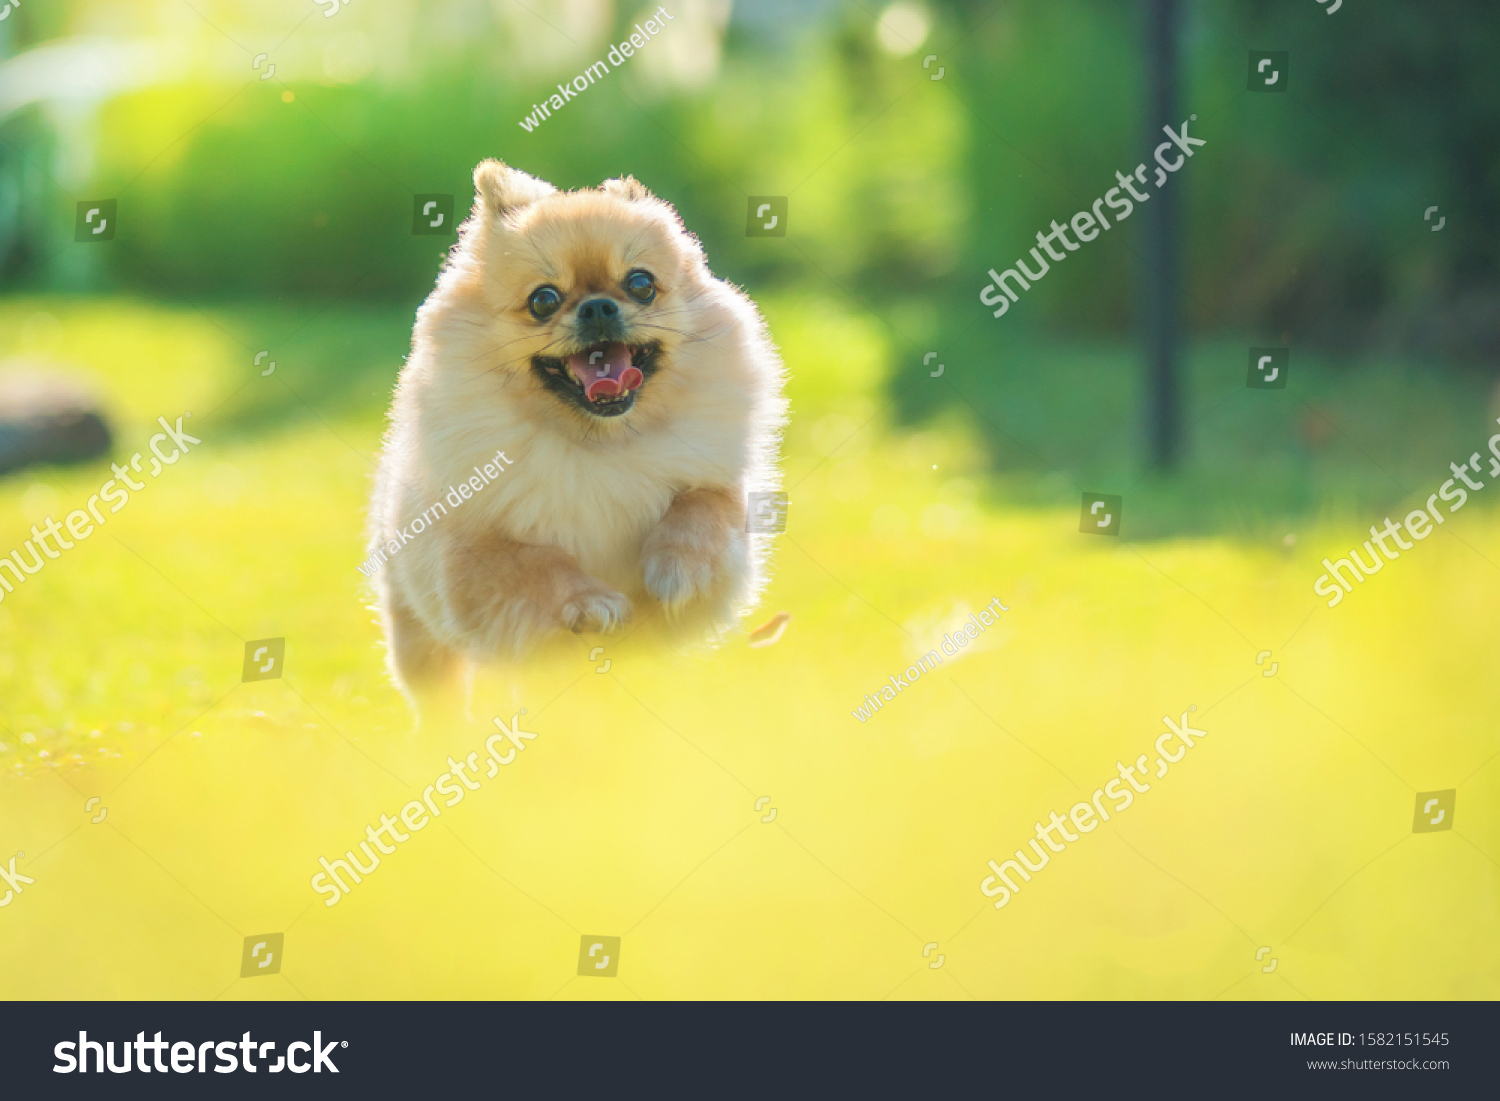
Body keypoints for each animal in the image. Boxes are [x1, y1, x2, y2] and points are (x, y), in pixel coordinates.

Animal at [366, 160, 786, 702]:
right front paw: (591, 603)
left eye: (641, 284)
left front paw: (679, 569)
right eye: (543, 300)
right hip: (417, 637)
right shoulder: (470, 554)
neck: (599, 443)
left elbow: (701, 511)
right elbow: (536, 564)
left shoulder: (718, 488)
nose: (599, 307)